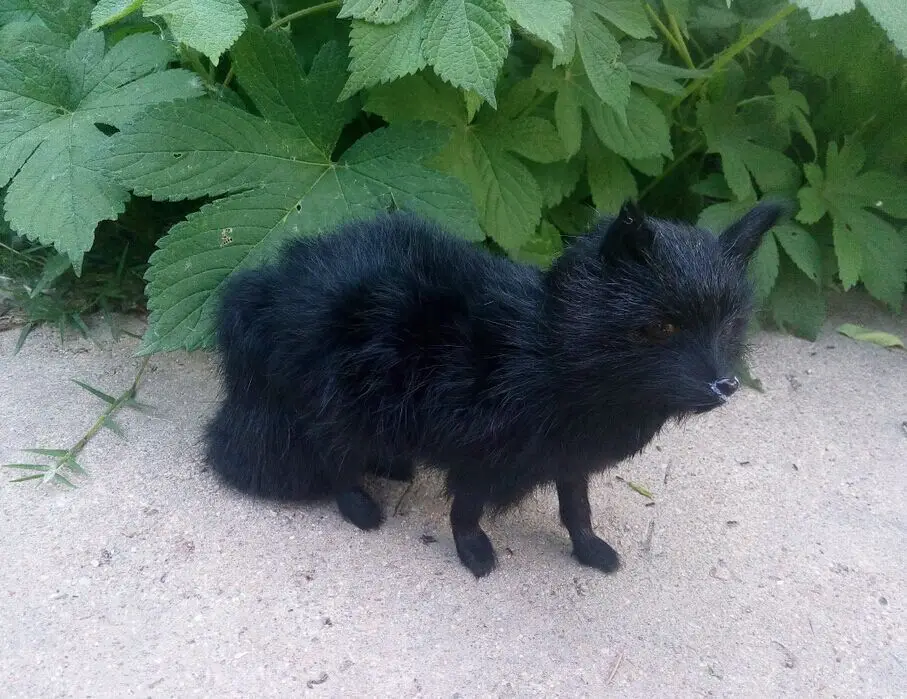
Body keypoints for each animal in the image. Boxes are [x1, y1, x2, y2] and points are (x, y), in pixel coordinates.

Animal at [205, 201, 784, 577]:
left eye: (731, 325)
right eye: (663, 327)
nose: (726, 384)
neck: (544, 356)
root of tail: (269, 285)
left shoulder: (569, 458)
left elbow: (576, 509)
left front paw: (589, 549)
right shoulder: (479, 450)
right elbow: (466, 510)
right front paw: (474, 553)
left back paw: (391, 464)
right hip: (340, 398)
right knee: (333, 455)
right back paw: (361, 506)